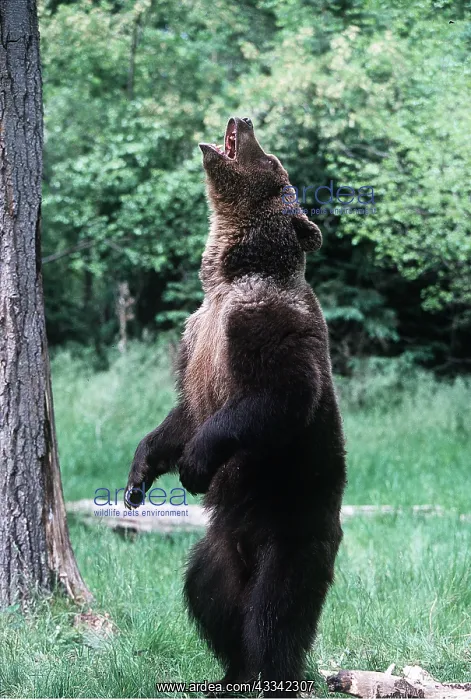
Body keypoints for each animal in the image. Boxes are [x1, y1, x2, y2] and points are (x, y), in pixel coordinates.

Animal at [125, 116, 346, 697]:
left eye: (270, 159)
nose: (241, 120)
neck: (228, 274)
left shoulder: (266, 321)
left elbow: (278, 398)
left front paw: (195, 464)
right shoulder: (197, 333)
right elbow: (183, 412)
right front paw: (139, 474)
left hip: (292, 527)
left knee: (274, 614)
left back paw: (272, 673)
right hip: (220, 548)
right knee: (209, 597)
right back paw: (229, 670)